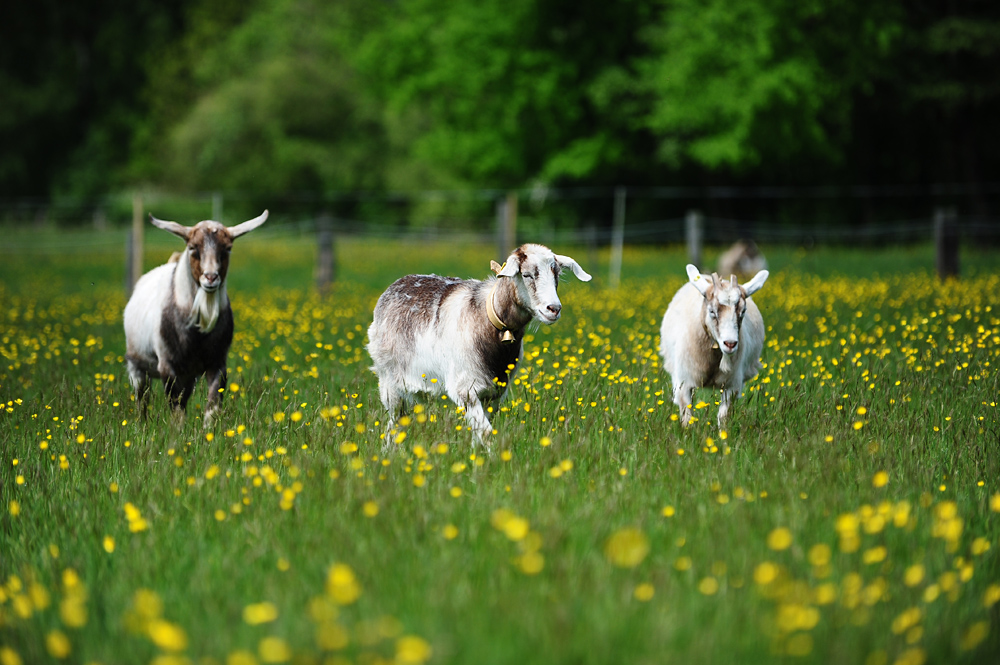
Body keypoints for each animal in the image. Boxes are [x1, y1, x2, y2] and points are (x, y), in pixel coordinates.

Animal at [122, 210, 268, 422]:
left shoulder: (217, 363)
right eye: (192, 247)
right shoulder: (168, 366)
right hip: (137, 366)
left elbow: (212, 406)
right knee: (142, 399)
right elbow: (176, 411)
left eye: (228, 248)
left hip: (189, 375)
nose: (211, 277)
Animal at [366, 241, 584, 444]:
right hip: (389, 382)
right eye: (527, 275)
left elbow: (480, 434)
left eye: (556, 275)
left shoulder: (494, 394)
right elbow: (486, 434)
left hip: (417, 390)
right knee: (393, 423)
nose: (554, 309)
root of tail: (398, 283)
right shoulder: (465, 390)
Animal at [660, 262, 768, 428]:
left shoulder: (731, 385)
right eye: (712, 311)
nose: (730, 344)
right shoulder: (684, 383)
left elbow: (723, 417)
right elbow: (687, 418)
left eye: (743, 311)